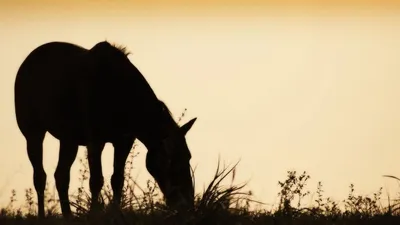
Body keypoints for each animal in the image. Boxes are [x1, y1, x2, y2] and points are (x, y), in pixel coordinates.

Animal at [14, 40, 197, 218]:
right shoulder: (95, 141)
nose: (187, 204)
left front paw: (116, 214)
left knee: (61, 175)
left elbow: (117, 179)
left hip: (68, 140)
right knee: (40, 176)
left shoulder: (124, 141)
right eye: (171, 161)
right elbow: (96, 180)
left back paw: (68, 216)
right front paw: (94, 214)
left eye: (188, 156)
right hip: (33, 133)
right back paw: (42, 216)